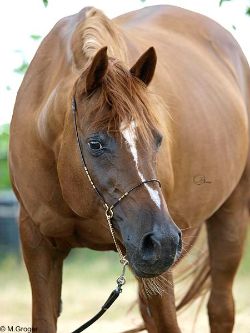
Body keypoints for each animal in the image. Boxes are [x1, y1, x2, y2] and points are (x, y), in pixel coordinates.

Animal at [9, 5, 250, 332]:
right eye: (95, 144)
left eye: (158, 138)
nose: (162, 241)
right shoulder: (38, 246)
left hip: (229, 216)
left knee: (220, 308)